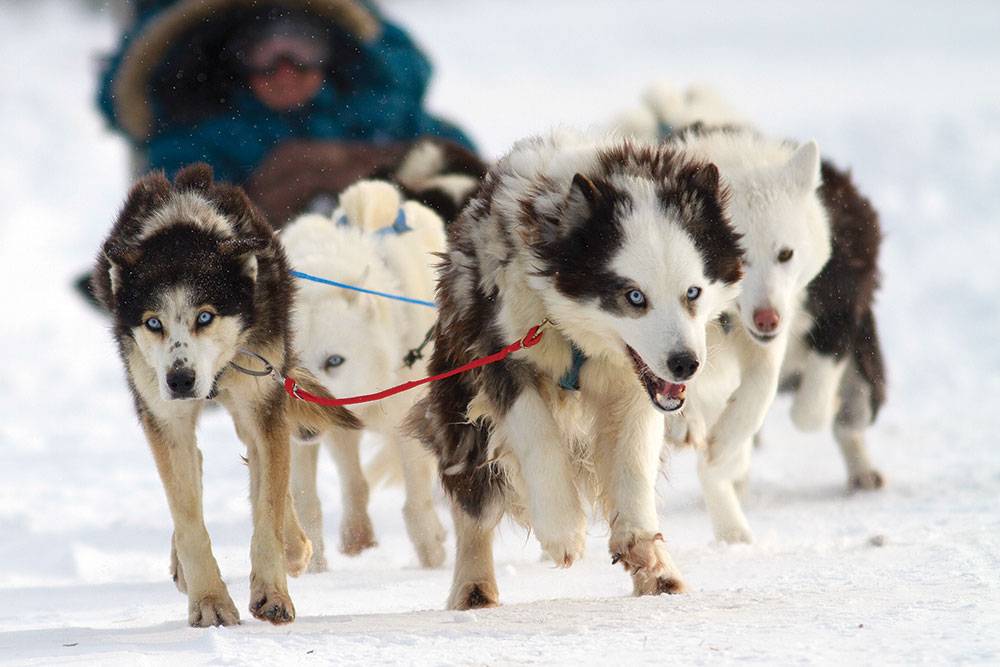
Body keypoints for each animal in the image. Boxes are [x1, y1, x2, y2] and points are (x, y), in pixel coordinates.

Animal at [94, 163, 364, 628]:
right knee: (196, 470)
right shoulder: (164, 418)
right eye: (153, 322)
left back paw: (295, 547)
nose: (180, 380)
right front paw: (208, 600)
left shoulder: (262, 404)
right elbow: (188, 518)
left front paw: (273, 591)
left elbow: (268, 508)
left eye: (205, 316)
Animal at [284, 179, 452, 576]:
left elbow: (417, 497)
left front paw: (431, 551)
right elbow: (311, 498)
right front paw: (316, 566)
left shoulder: (407, 419)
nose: (303, 426)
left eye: (335, 360)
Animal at [406, 130, 744, 612]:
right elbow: (536, 432)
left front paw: (638, 535)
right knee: (475, 505)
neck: (578, 343)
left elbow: (634, 455)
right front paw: (562, 526)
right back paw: (473, 586)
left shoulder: (637, 386)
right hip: (460, 412)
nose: (685, 364)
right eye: (634, 296)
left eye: (693, 292)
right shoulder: (498, 354)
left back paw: (661, 572)